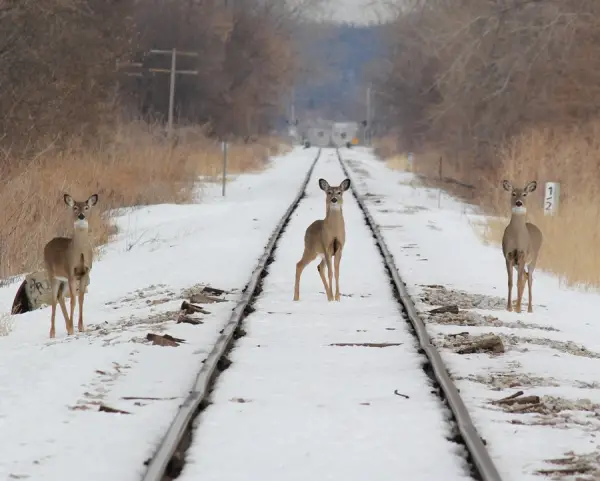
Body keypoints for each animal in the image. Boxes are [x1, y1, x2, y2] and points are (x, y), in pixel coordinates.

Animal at [44, 192, 99, 338]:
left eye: (86, 207)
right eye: (74, 207)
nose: (81, 215)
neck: (79, 252)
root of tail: (47, 245)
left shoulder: (86, 272)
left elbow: (81, 299)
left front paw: (80, 327)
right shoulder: (70, 272)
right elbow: (74, 300)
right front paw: (74, 328)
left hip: (63, 280)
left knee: (60, 297)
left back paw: (68, 327)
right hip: (52, 274)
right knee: (53, 299)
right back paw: (52, 333)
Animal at [502, 180, 544, 312]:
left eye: (525, 194)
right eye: (513, 193)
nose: (519, 203)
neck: (516, 236)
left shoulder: (523, 254)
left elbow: (518, 282)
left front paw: (519, 309)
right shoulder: (508, 256)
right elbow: (510, 282)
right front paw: (509, 308)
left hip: (533, 258)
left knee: (529, 278)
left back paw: (529, 308)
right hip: (517, 263)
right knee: (525, 276)